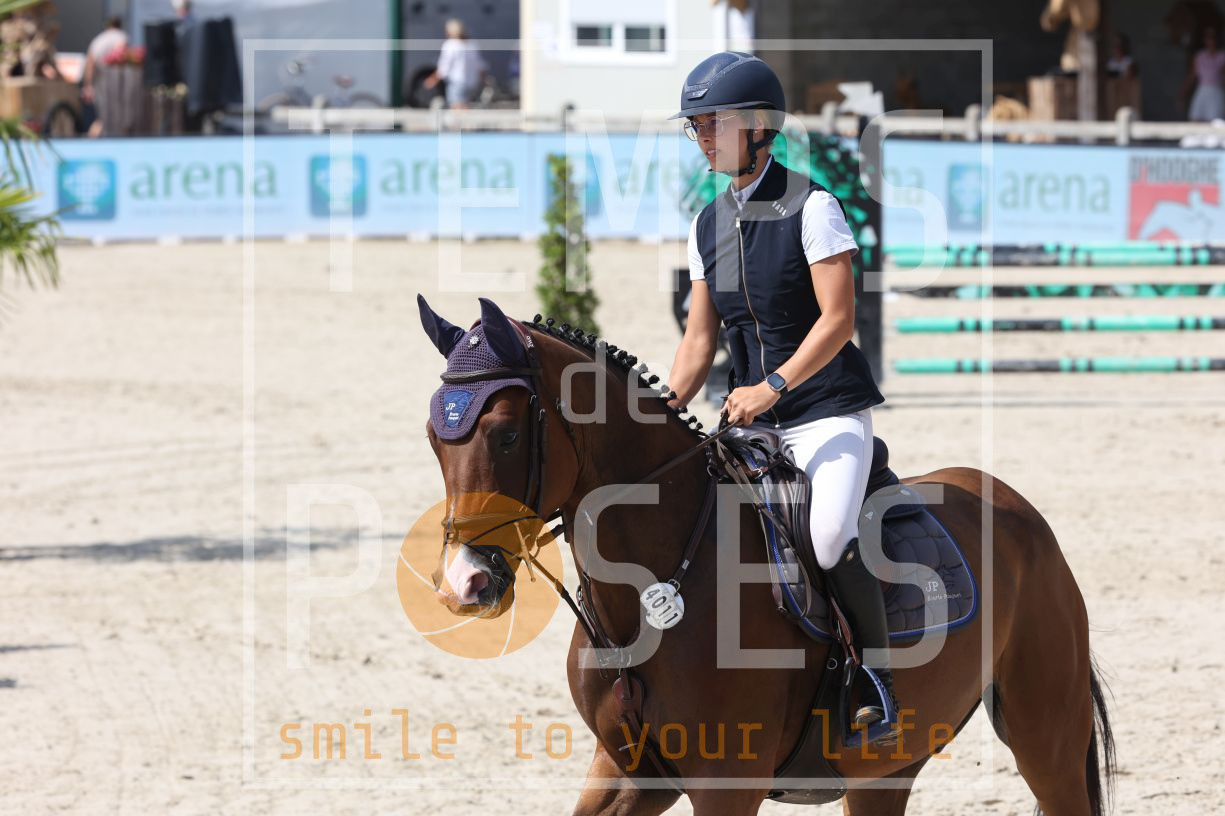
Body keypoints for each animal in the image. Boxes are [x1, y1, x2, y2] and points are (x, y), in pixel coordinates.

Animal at [417, 295, 1115, 816]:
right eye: (433, 438)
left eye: (507, 435)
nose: (465, 583)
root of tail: (1020, 511)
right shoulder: (627, 773)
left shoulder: (728, 784)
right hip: (883, 771)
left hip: (1045, 737)